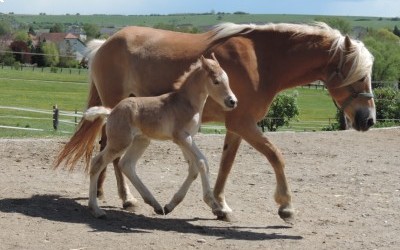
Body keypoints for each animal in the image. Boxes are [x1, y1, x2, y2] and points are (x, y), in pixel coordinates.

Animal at [82, 54, 238, 217]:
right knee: (97, 163)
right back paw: (96, 209)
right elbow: (202, 162)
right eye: (216, 81)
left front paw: (171, 205)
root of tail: (111, 111)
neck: (186, 103)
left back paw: (155, 205)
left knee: (126, 164)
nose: (232, 102)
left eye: (227, 79)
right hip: (120, 143)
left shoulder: (187, 139)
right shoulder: (182, 137)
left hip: (141, 141)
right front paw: (215, 206)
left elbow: (194, 168)